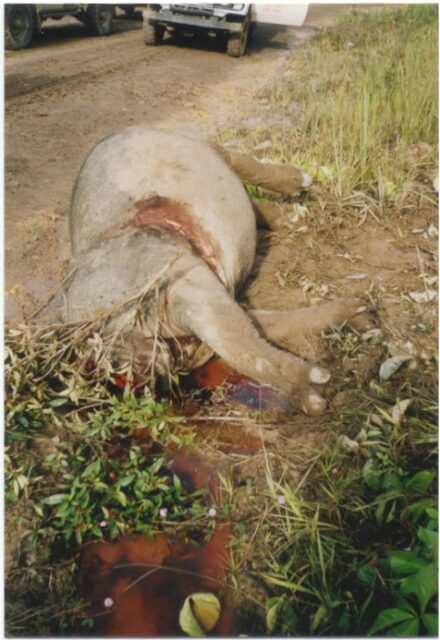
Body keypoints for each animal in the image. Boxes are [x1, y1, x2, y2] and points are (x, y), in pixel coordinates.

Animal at [64, 126, 367, 415]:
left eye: (119, 369)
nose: (139, 381)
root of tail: (115, 133)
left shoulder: (183, 281)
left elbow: (241, 346)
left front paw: (316, 395)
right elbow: (264, 326)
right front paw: (362, 313)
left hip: (195, 141)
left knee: (236, 160)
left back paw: (301, 181)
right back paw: (294, 219)